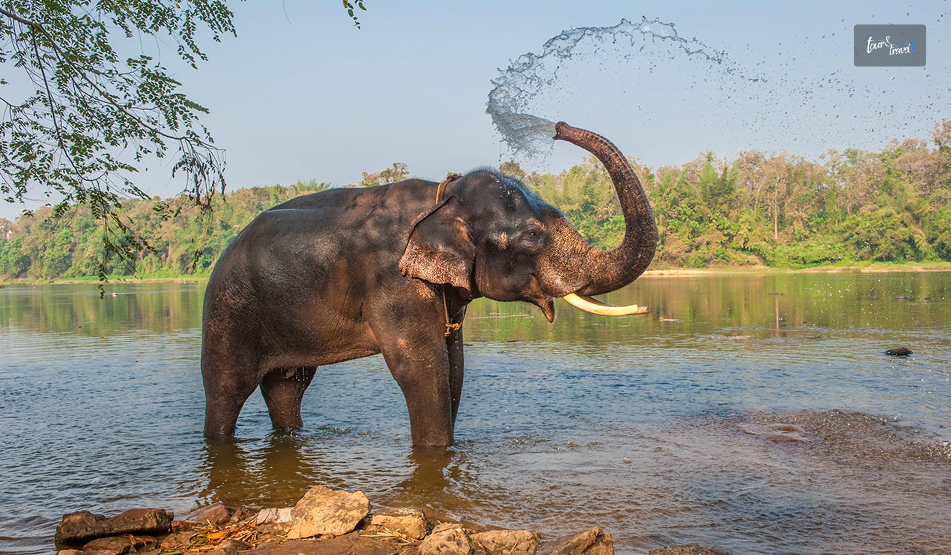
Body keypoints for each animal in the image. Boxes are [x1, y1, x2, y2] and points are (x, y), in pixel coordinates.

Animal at [201, 122, 657, 446]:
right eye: (532, 236)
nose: (559, 127)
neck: (444, 197)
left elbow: (454, 366)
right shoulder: (393, 281)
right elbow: (422, 369)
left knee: (287, 387)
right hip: (229, 308)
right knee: (226, 388)